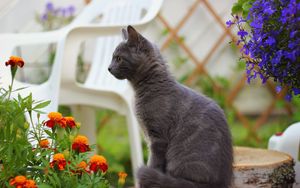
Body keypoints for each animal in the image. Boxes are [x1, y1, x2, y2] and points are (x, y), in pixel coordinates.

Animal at [109, 25, 233, 188]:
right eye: (112, 58)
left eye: (118, 58)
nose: (109, 68)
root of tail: (217, 184)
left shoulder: (157, 138)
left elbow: (153, 164)